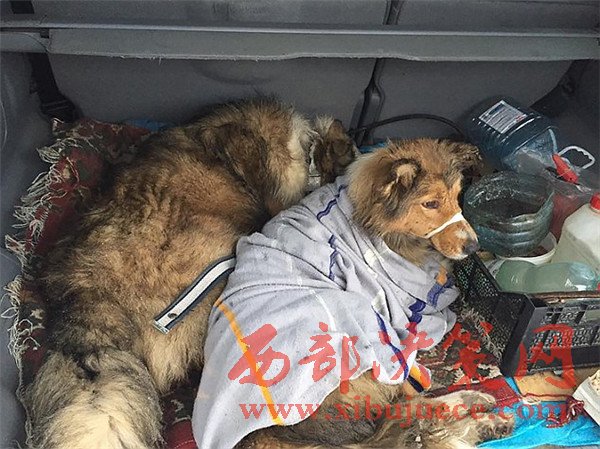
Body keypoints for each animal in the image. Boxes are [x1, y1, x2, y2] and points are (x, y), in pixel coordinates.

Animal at [191, 139, 514, 449]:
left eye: (458, 195)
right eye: (431, 203)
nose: (474, 247)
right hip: (362, 328)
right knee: (409, 409)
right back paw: (477, 407)